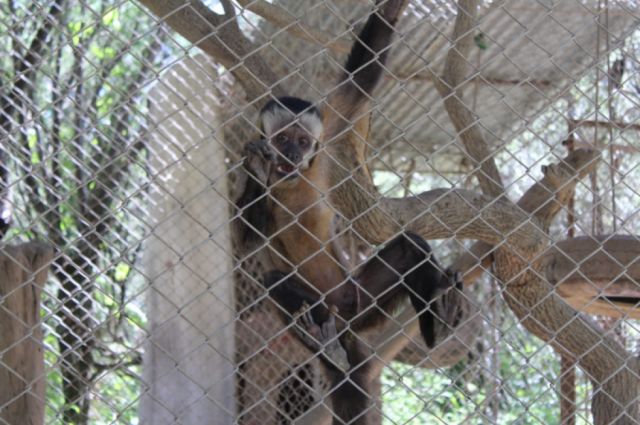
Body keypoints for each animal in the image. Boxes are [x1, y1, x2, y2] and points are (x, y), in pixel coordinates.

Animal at [235, 0, 466, 424]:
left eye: (301, 141)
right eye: (282, 138)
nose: (290, 155)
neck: (291, 182)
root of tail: (342, 323)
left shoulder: (325, 149)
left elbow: (360, 79)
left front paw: (392, 11)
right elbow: (244, 242)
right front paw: (259, 173)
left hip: (359, 302)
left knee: (410, 247)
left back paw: (439, 326)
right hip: (324, 311)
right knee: (275, 281)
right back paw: (328, 349)